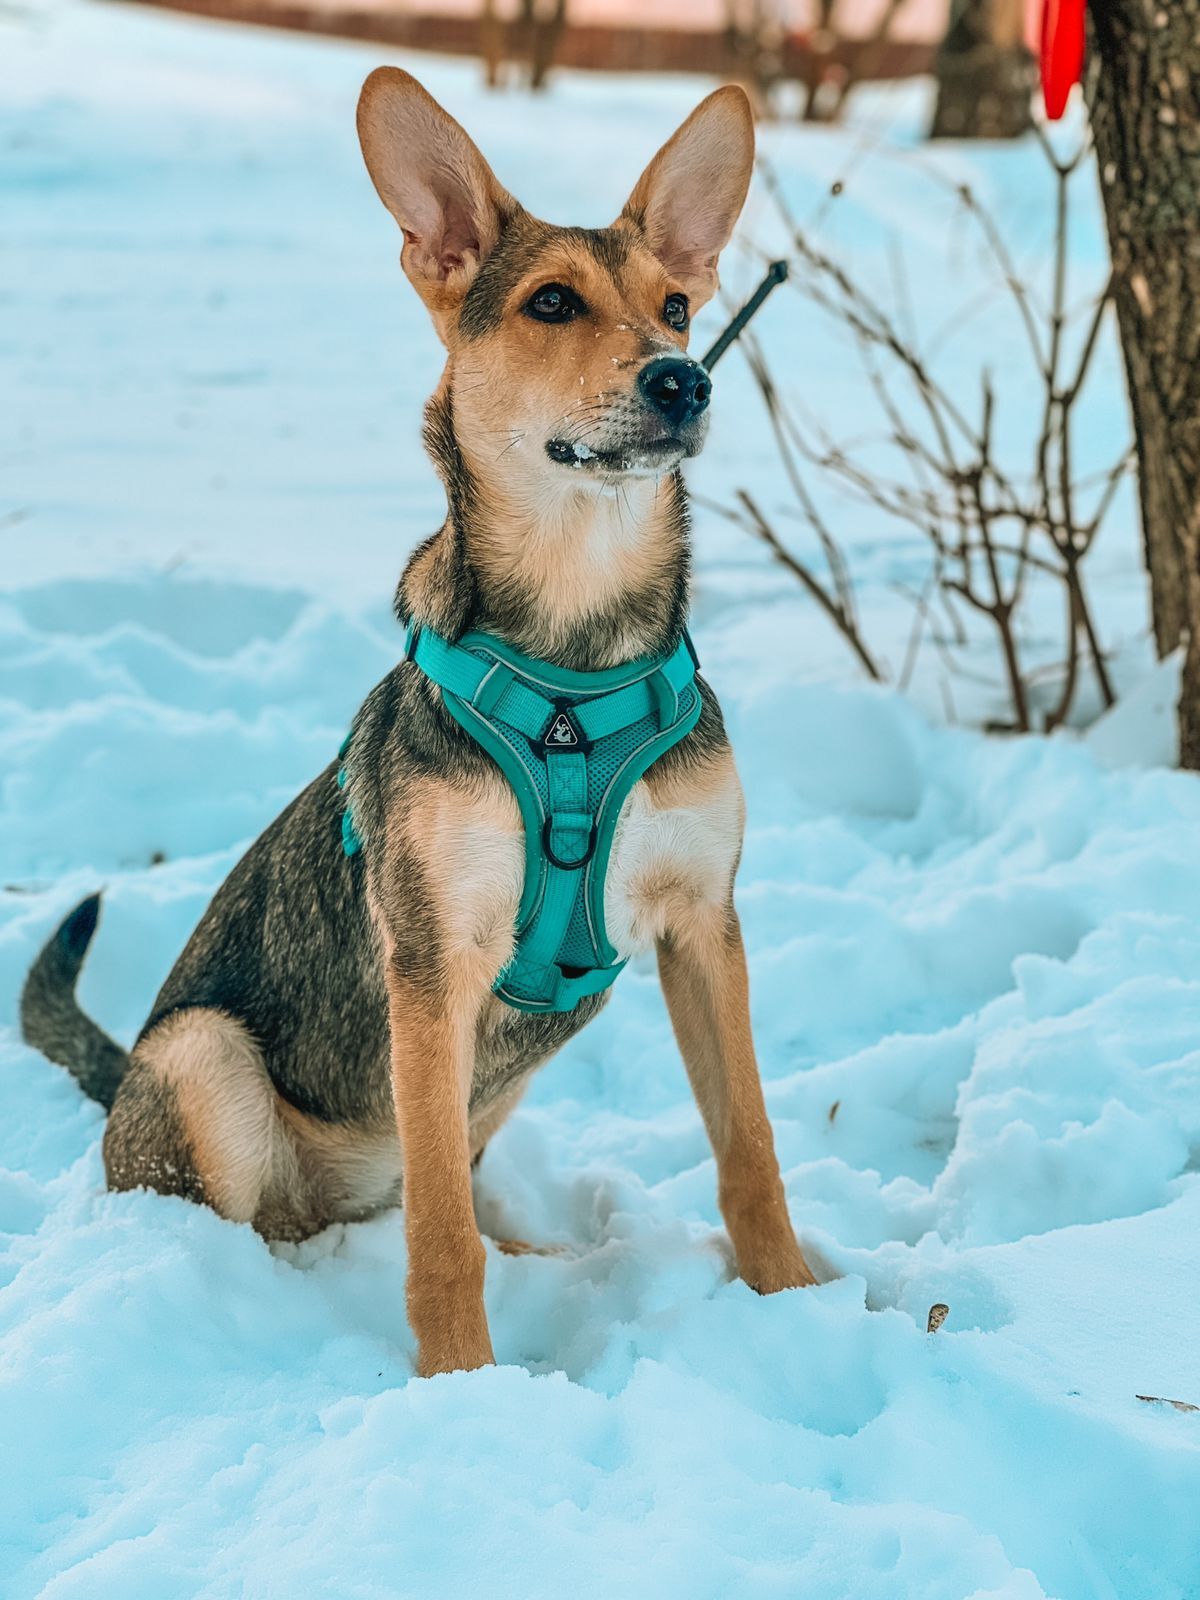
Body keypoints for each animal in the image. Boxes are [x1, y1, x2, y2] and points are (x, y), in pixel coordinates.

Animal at [23, 68, 825, 1376]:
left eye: (676, 308)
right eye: (552, 302)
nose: (682, 379)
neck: (575, 661)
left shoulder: (706, 928)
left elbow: (750, 1150)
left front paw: (796, 1301)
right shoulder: (432, 965)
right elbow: (442, 1234)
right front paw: (462, 1382)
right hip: (204, 1057)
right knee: (277, 1213)